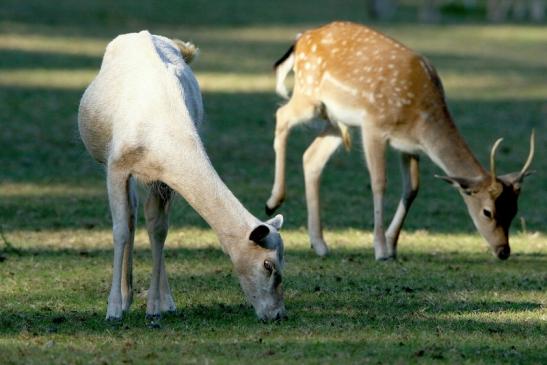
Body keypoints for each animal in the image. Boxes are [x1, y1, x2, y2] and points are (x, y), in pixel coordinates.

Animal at [79, 32, 288, 322]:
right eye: (268, 265)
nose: (277, 314)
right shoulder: (116, 167)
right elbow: (119, 230)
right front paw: (113, 310)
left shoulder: (164, 179)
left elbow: (158, 229)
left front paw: (156, 308)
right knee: (130, 217)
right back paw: (124, 299)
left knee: (141, 214)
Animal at [266, 21, 536, 258]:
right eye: (487, 212)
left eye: (514, 211)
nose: (503, 251)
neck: (421, 117)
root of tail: (301, 38)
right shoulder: (374, 126)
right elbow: (379, 182)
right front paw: (380, 249)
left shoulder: (409, 146)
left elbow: (412, 188)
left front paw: (393, 245)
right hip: (309, 94)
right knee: (282, 115)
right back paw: (273, 201)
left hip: (335, 120)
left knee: (311, 157)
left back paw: (320, 244)